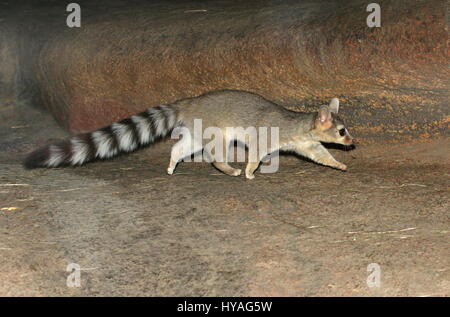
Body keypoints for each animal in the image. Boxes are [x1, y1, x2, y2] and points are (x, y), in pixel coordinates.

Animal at [24, 89, 354, 178]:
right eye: (342, 131)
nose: (353, 142)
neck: (302, 123)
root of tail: (191, 101)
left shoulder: (306, 143)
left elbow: (319, 154)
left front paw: (337, 163)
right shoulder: (268, 136)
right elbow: (256, 154)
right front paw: (251, 169)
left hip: (197, 128)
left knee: (183, 147)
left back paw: (173, 161)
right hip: (215, 127)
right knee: (213, 152)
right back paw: (227, 167)